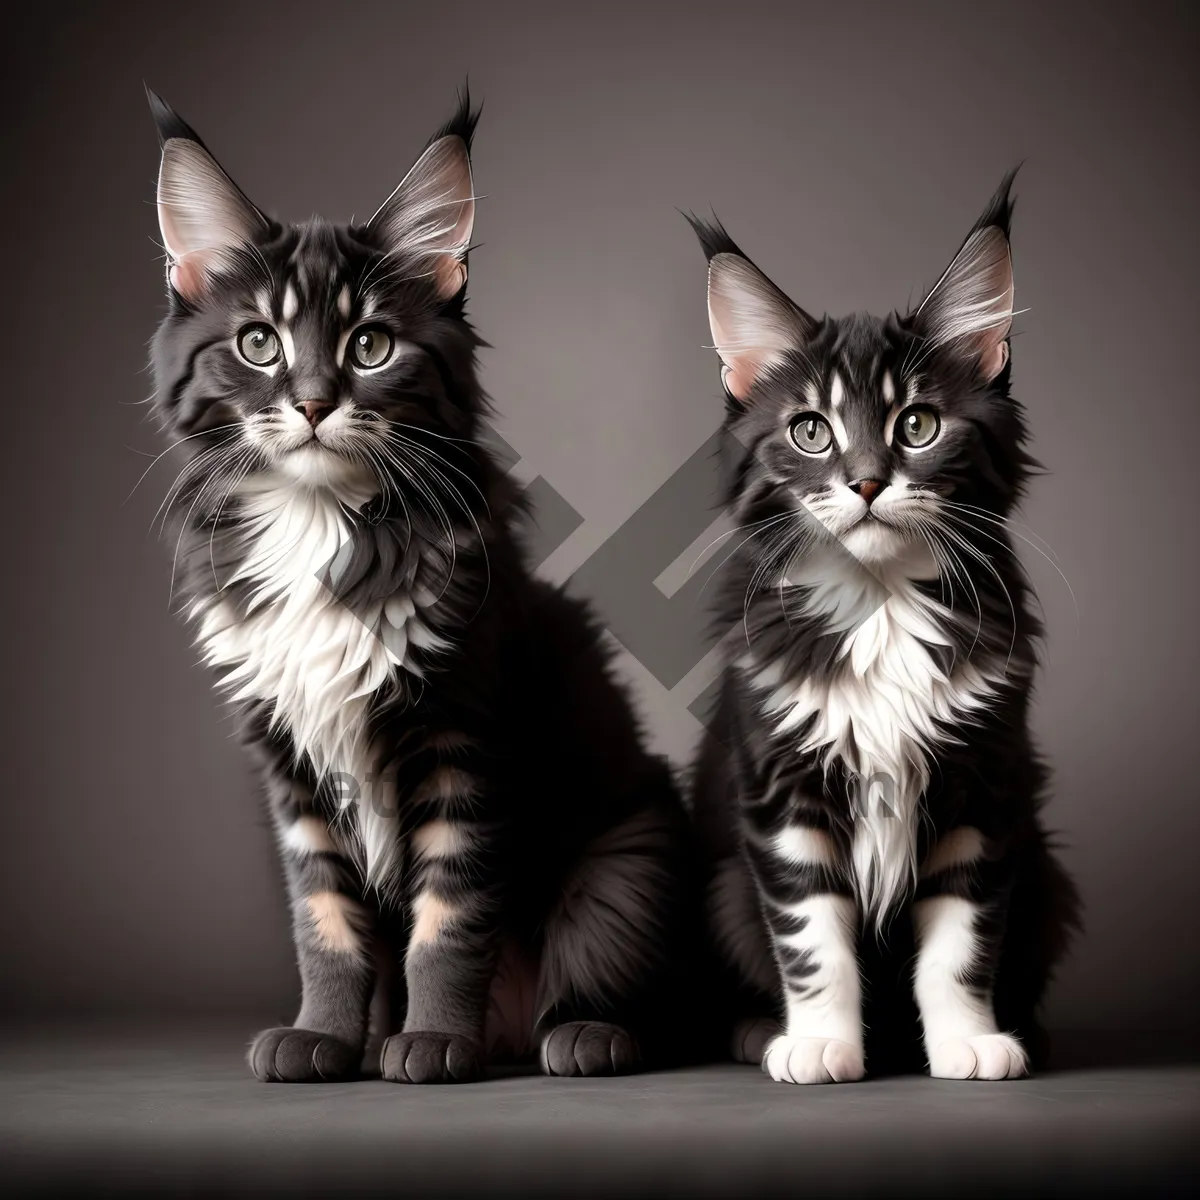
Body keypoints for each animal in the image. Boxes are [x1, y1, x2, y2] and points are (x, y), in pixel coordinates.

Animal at [145, 91, 700, 1089]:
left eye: (371, 345)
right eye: (258, 343)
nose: (313, 401)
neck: (319, 520)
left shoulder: (463, 736)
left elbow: (449, 917)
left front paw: (437, 1040)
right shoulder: (289, 762)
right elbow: (324, 921)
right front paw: (323, 1037)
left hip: (628, 861)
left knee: (628, 991)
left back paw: (581, 1034)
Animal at [691, 177, 1084, 1089]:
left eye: (917, 426)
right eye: (810, 430)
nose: (867, 481)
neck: (879, 607)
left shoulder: (984, 790)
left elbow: (961, 945)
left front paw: (970, 1042)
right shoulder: (781, 792)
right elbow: (812, 940)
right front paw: (819, 1044)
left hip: (1047, 875)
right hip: (721, 891)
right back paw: (759, 1033)